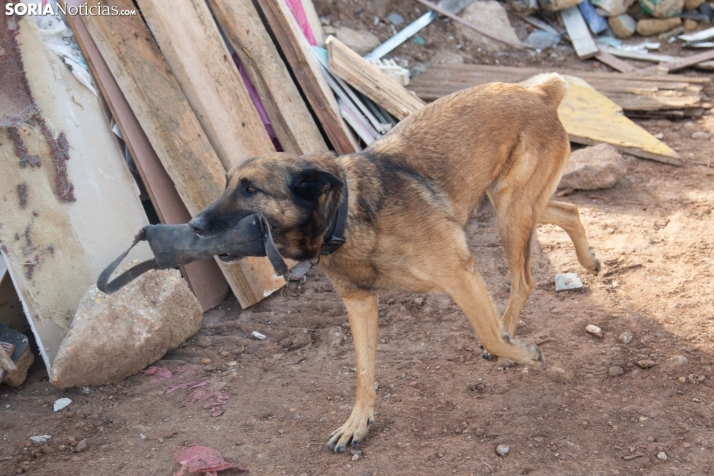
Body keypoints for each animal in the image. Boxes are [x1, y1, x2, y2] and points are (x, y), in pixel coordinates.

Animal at [188, 74, 596, 454]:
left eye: (251, 189)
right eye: (226, 184)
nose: (193, 225)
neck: (343, 216)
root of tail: (536, 92)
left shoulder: (460, 275)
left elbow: (489, 333)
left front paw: (525, 354)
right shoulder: (359, 304)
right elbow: (363, 370)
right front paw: (357, 422)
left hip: (511, 211)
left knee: (523, 281)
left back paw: (514, 332)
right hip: (514, 204)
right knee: (569, 210)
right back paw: (588, 259)